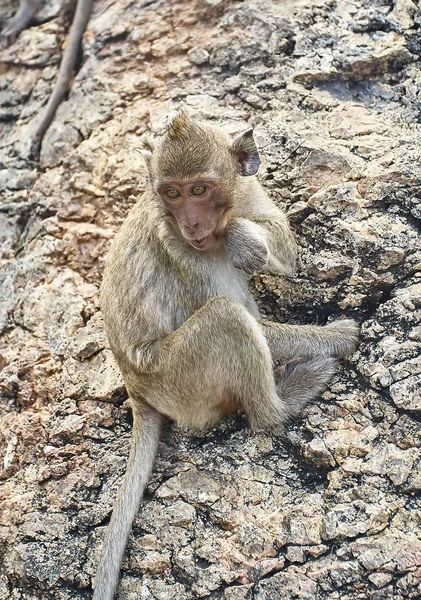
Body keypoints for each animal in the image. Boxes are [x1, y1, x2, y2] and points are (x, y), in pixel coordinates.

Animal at [96, 113, 358, 600]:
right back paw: (281, 405)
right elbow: (249, 320)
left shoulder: (248, 189)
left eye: (199, 189)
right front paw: (337, 336)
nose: (192, 224)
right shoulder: (182, 250)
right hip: (177, 379)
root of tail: (136, 389)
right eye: (172, 194)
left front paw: (244, 238)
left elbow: (284, 246)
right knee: (228, 318)